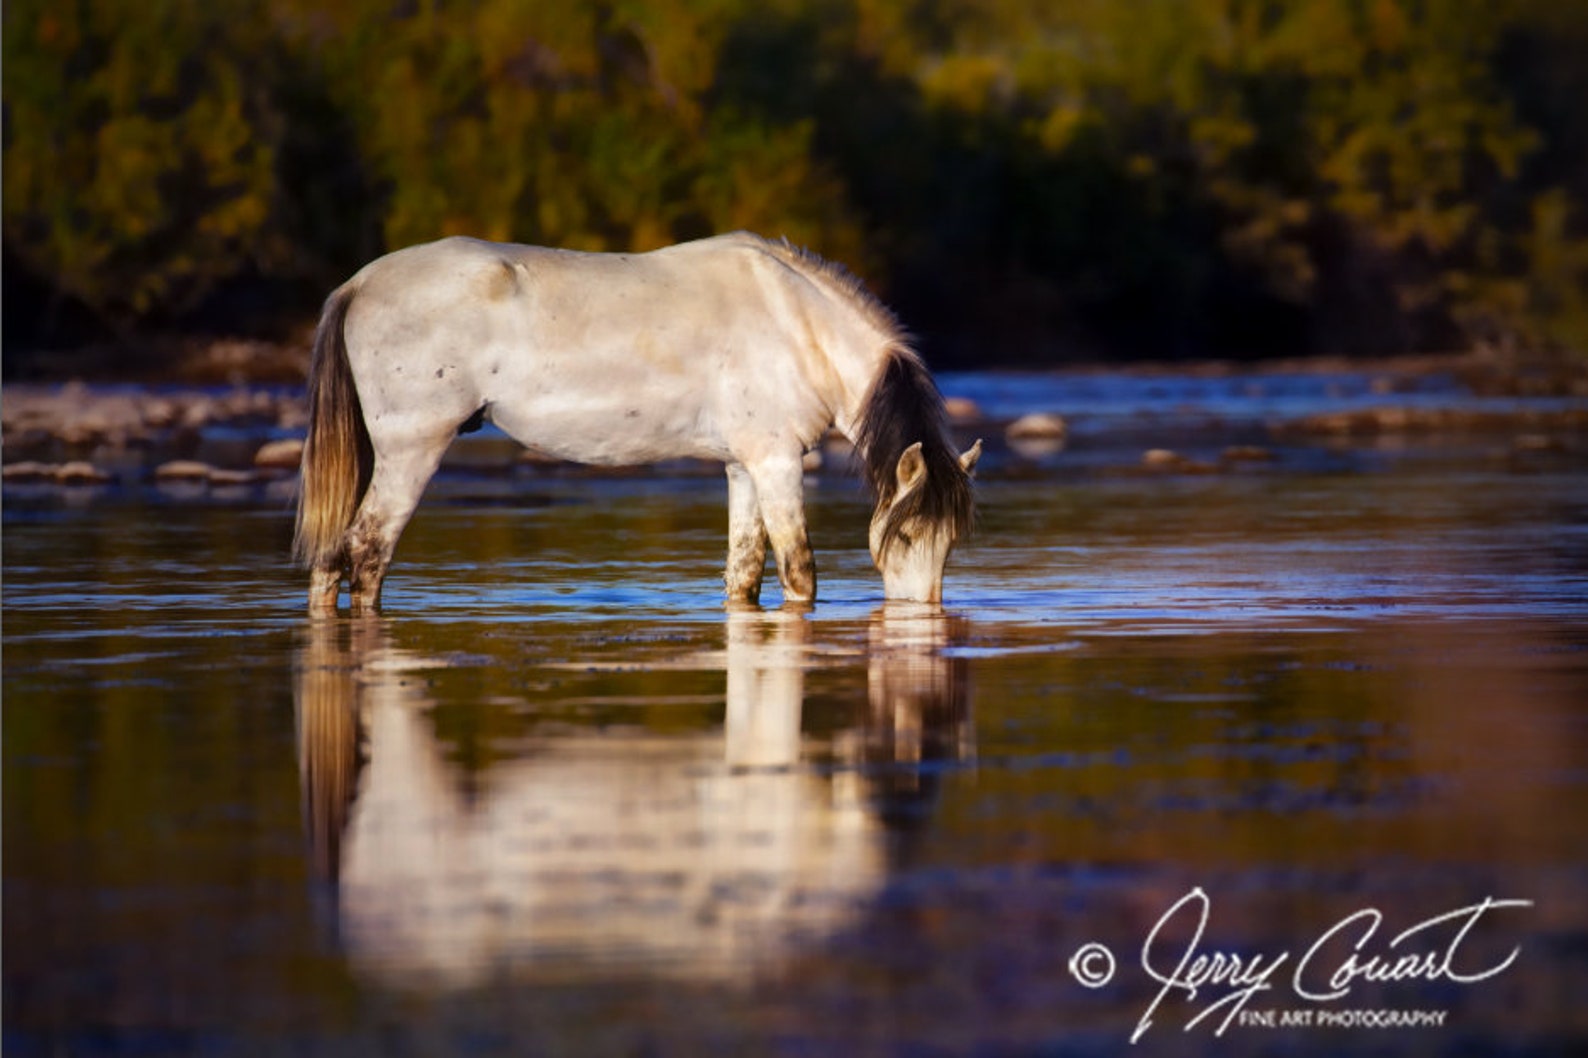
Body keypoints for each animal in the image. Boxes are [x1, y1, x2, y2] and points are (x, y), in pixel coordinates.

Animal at [293, 232, 980, 614]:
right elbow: (799, 571)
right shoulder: (777, 462)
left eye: (951, 540)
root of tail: (358, 284)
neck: (797, 323)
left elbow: (743, 575)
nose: (920, 617)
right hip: (412, 452)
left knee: (331, 561)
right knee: (367, 555)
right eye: (906, 535)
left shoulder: (743, 467)